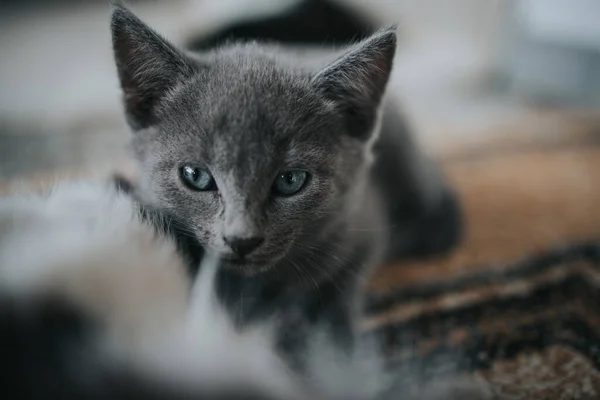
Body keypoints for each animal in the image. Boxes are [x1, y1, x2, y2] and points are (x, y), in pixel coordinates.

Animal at [110, 1, 462, 362]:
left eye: (290, 180)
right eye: (196, 175)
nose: (242, 239)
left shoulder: (364, 223)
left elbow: (342, 281)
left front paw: (332, 339)